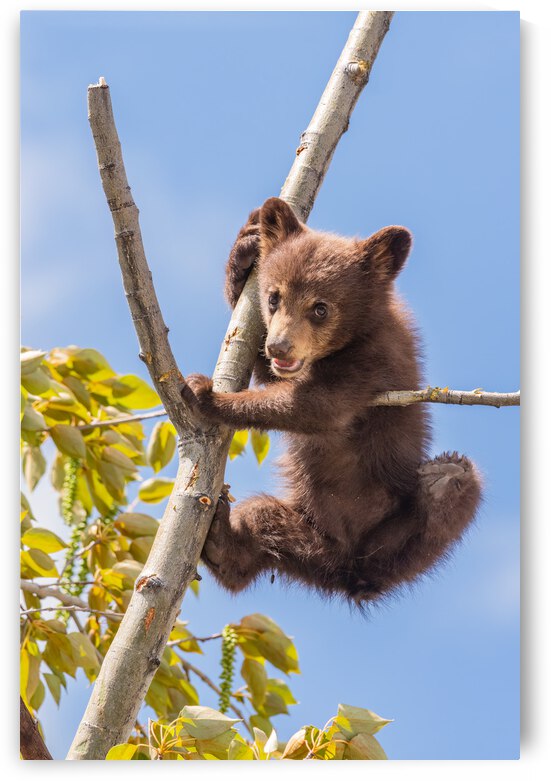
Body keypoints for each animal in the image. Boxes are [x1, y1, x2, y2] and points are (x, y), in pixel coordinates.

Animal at [183, 197, 482, 606]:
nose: (279, 347)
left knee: (445, 509)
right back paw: (220, 541)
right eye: (273, 297)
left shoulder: (375, 359)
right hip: (304, 531)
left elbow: (318, 405)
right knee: (261, 523)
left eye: (320, 308)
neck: (357, 332)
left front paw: (206, 394)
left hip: (393, 538)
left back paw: (445, 479)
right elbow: (274, 377)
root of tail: (348, 576)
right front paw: (245, 247)